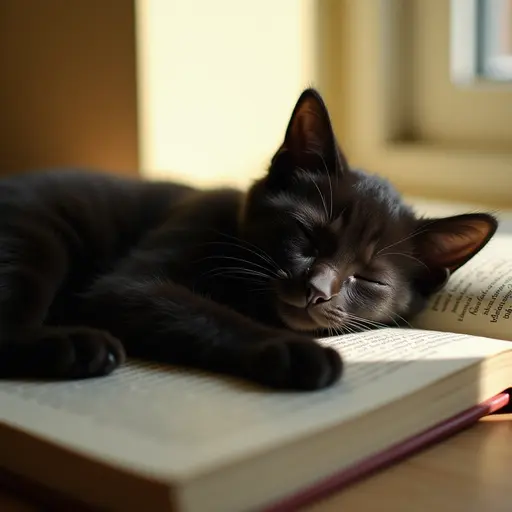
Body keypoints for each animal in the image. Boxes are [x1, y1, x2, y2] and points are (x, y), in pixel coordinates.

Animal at [0, 90, 500, 390]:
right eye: (306, 235)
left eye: (369, 280)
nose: (317, 290)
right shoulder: (138, 273)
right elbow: (204, 313)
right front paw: (293, 353)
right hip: (34, 235)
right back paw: (78, 347)